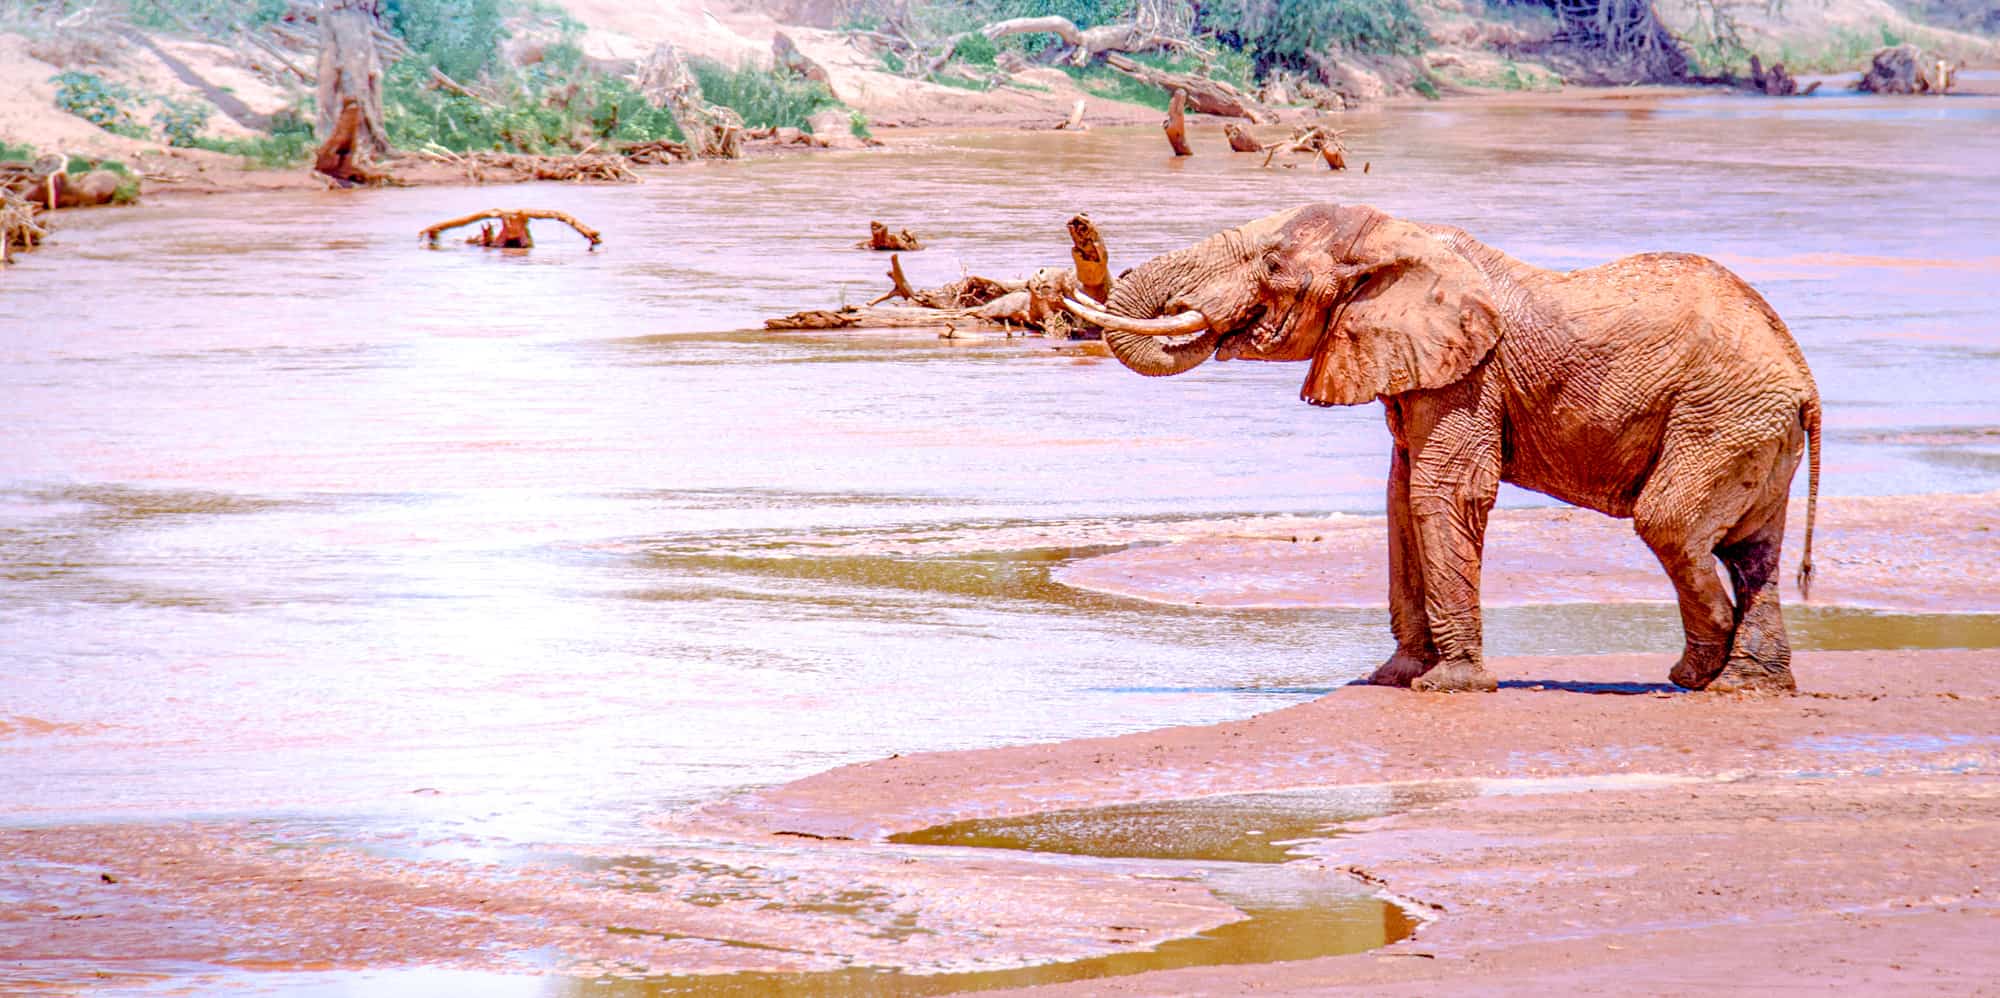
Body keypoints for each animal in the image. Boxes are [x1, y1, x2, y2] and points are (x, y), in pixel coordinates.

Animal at [1062, 203, 1821, 693]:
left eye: (1273, 264)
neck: (1402, 237)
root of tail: (1804, 379)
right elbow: (1400, 499)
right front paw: (1391, 678)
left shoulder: (1470, 377)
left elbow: (1442, 492)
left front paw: (1448, 685)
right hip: (1753, 428)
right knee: (1751, 549)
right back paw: (1748, 684)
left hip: (1721, 418)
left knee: (1671, 523)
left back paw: (1698, 674)